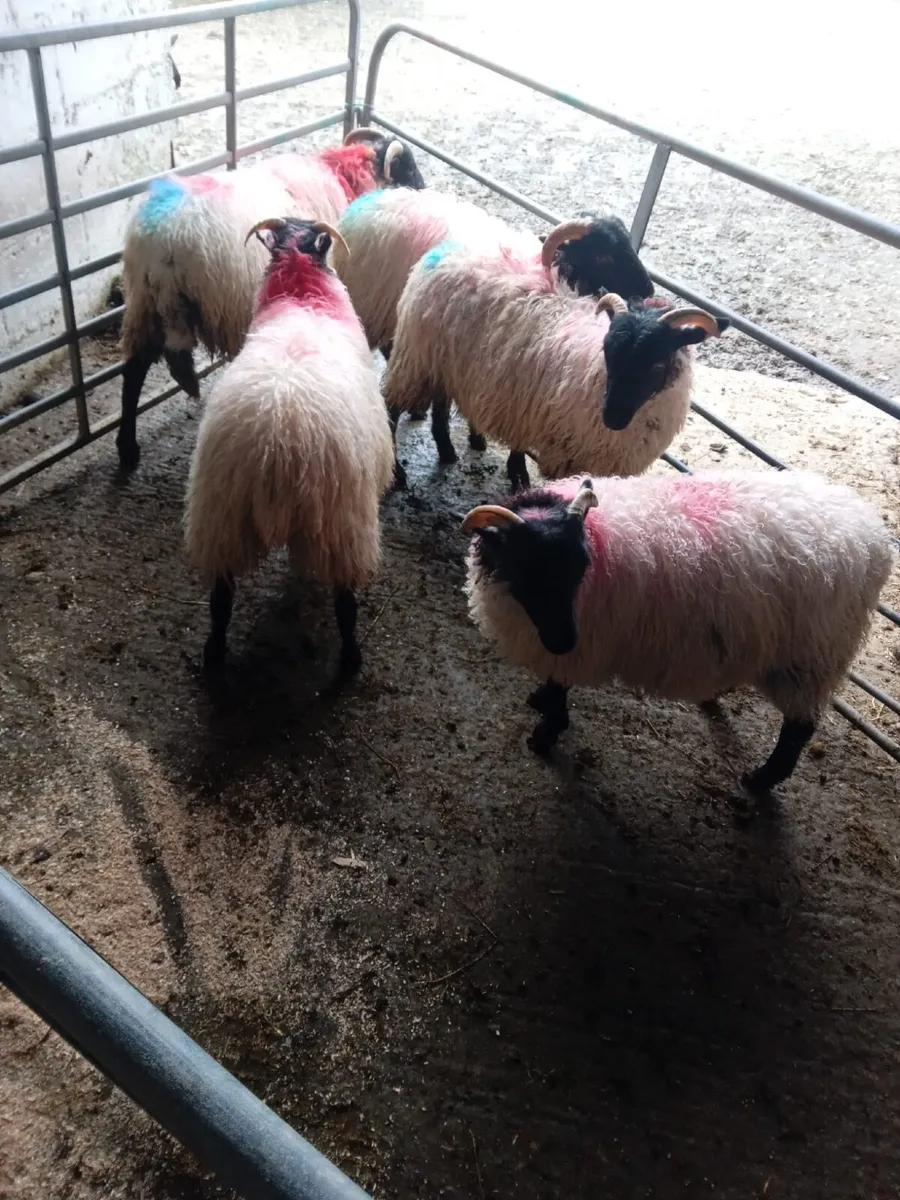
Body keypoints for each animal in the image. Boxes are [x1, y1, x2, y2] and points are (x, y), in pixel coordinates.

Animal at [117, 128, 423, 472]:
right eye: (409, 169)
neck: (343, 176)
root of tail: (164, 238)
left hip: (142, 303)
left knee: (133, 371)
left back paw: (127, 449)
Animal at [183, 215, 395, 677]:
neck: (301, 295)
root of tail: (279, 436)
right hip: (342, 522)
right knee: (345, 603)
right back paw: (350, 662)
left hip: (220, 516)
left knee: (220, 598)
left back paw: (213, 654)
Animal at [383, 241, 727, 490]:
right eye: (608, 352)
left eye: (657, 363)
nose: (612, 418)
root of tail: (448, 249)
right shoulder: (566, 452)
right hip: (417, 357)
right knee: (391, 407)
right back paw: (396, 473)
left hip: (446, 363)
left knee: (441, 400)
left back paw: (446, 449)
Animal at [461, 472, 894, 792]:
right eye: (528, 570)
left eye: (582, 566)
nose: (564, 640)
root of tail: (872, 535)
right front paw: (539, 702)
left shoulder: (580, 649)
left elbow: (558, 690)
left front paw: (544, 735)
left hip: (811, 656)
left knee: (799, 729)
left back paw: (758, 783)